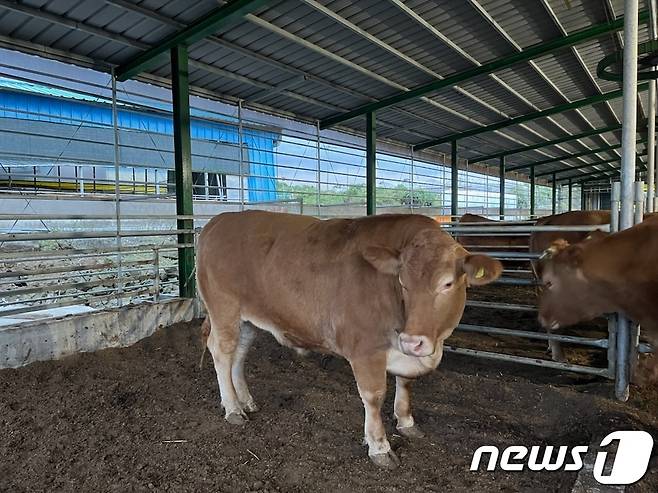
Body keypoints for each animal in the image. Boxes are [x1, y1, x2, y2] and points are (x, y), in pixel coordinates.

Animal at [197, 209, 500, 468]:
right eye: (403, 282)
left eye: (447, 283)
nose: (413, 341)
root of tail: (219, 221)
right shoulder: (365, 348)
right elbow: (374, 396)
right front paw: (379, 447)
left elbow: (406, 383)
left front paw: (406, 422)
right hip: (224, 309)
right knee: (222, 353)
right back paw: (233, 409)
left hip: (248, 319)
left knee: (239, 354)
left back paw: (245, 400)